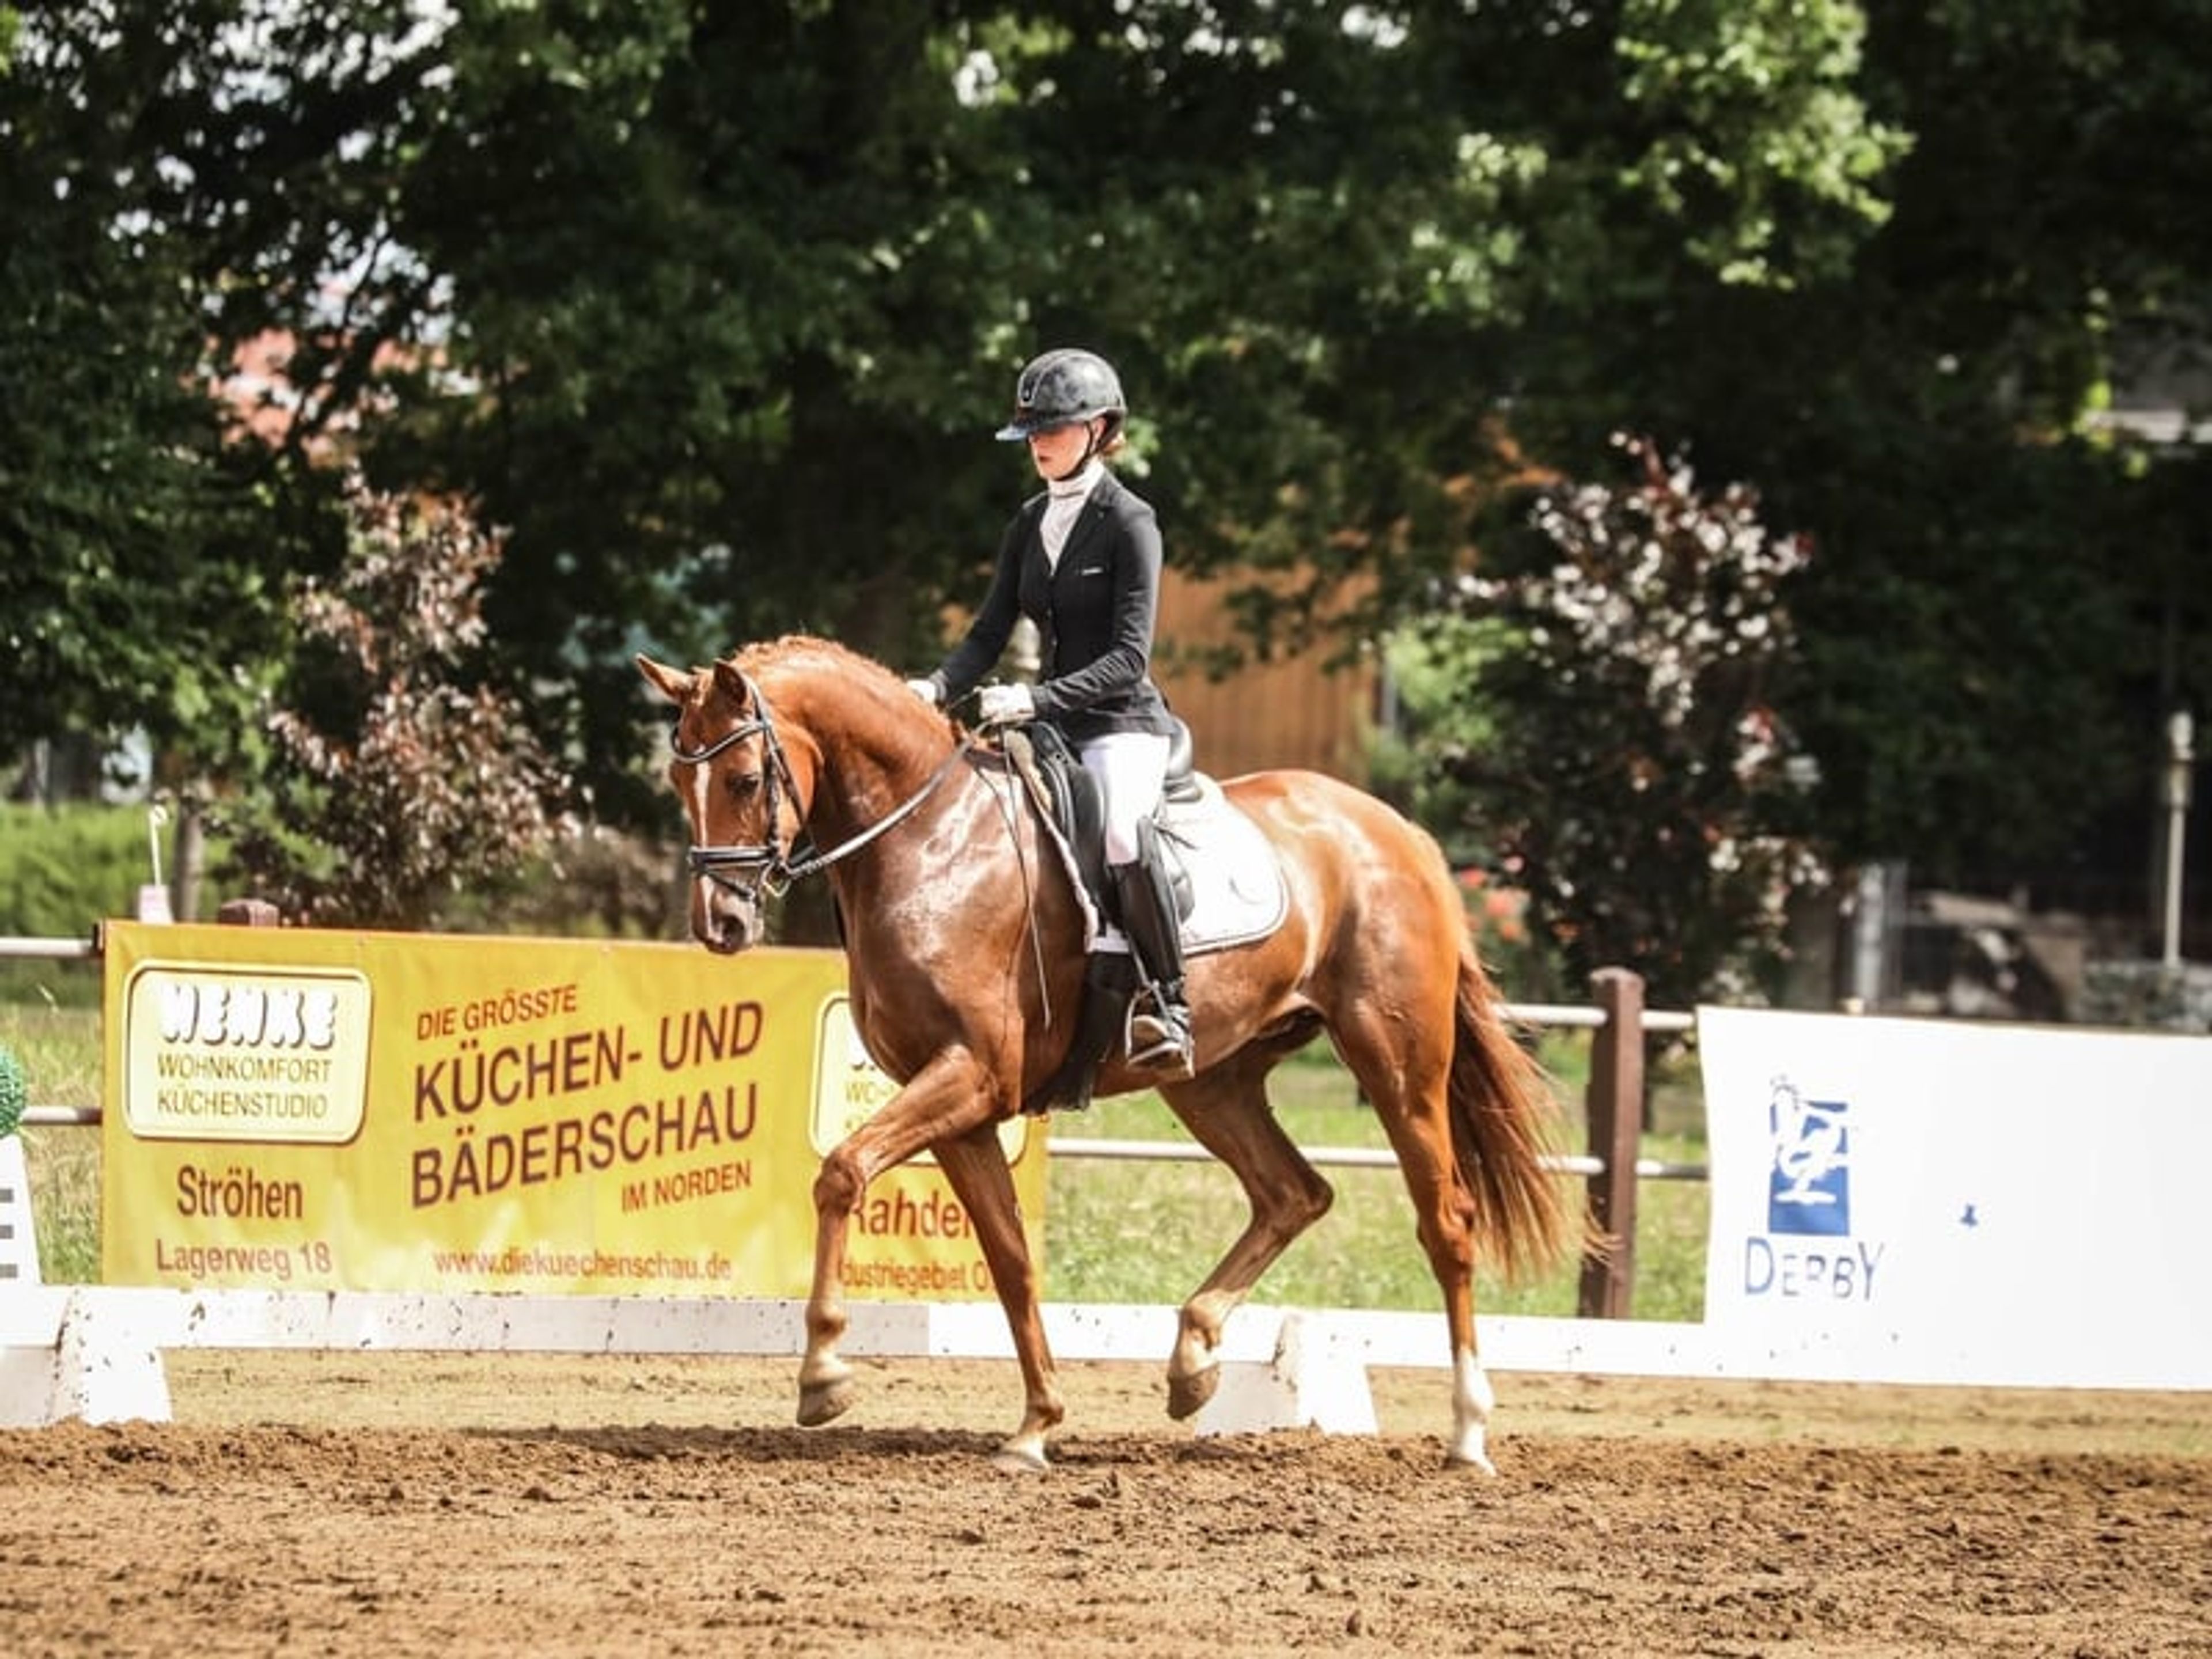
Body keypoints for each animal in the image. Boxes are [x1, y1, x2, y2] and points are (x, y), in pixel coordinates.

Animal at [637, 635, 1575, 1473]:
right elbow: (1010, 1259)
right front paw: (1035, 1427)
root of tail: (1399, 832)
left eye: (745, 779)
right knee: (1294, 1193)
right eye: (679, 782)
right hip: (1213, 1082)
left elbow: (841, 1173)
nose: (721, 926)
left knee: (1445, 1223)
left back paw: (1467, 1434)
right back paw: (1193, 1362)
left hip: (1397, 1062)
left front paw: (825, 1373)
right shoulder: (959, 1107)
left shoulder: (968, 1076)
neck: (929, 841)